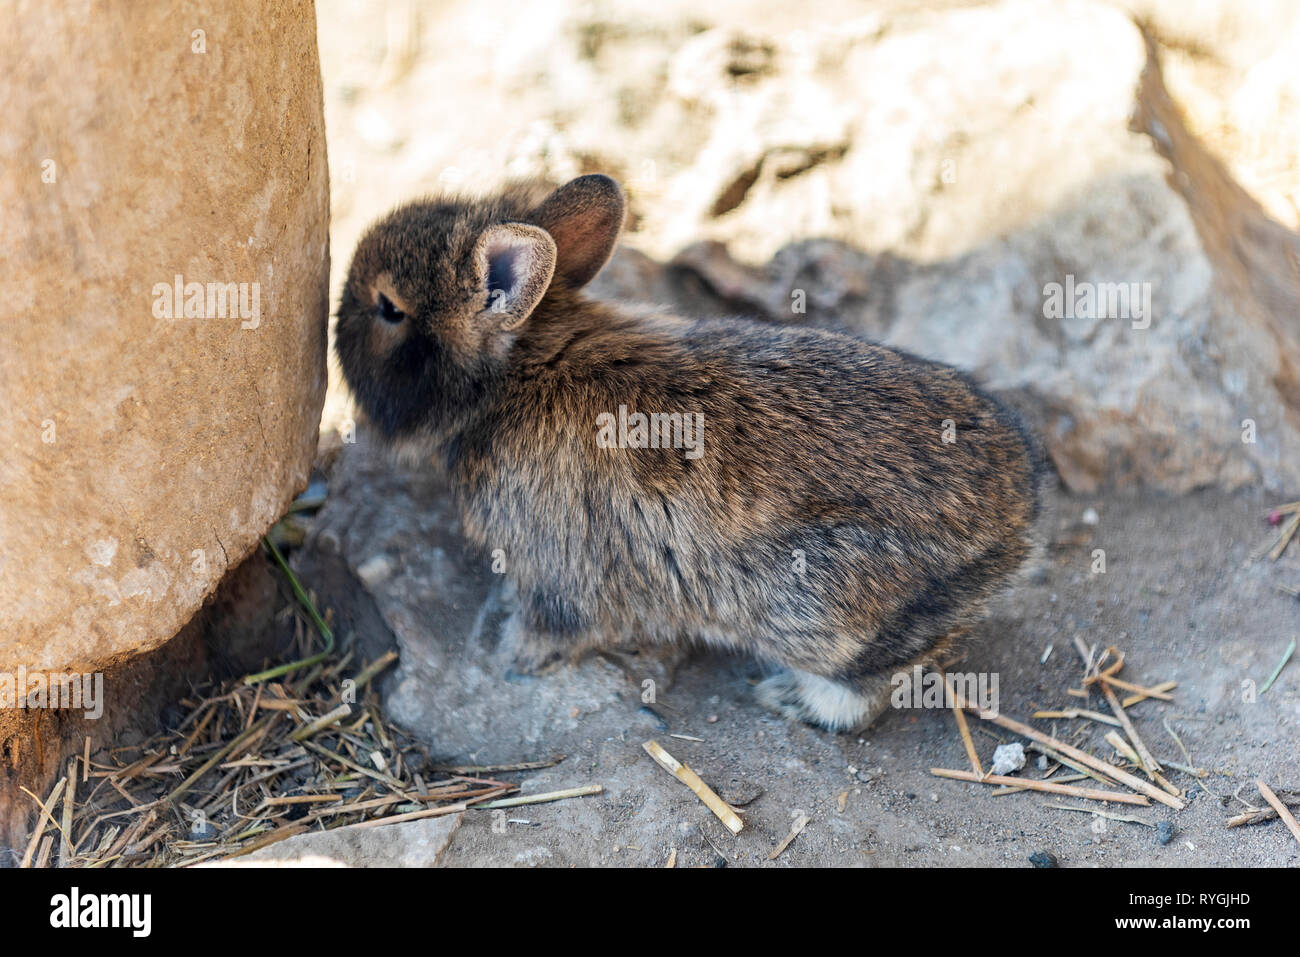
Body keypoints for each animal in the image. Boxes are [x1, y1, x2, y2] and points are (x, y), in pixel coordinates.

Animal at [338, 174, 1045, 722]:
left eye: (389, 308)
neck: (522, 370)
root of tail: (1020, 522)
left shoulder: (554, 568)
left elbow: (554, 625)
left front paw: (513, 658)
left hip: (823, 612)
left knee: (868, 689)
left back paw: (788, 699)